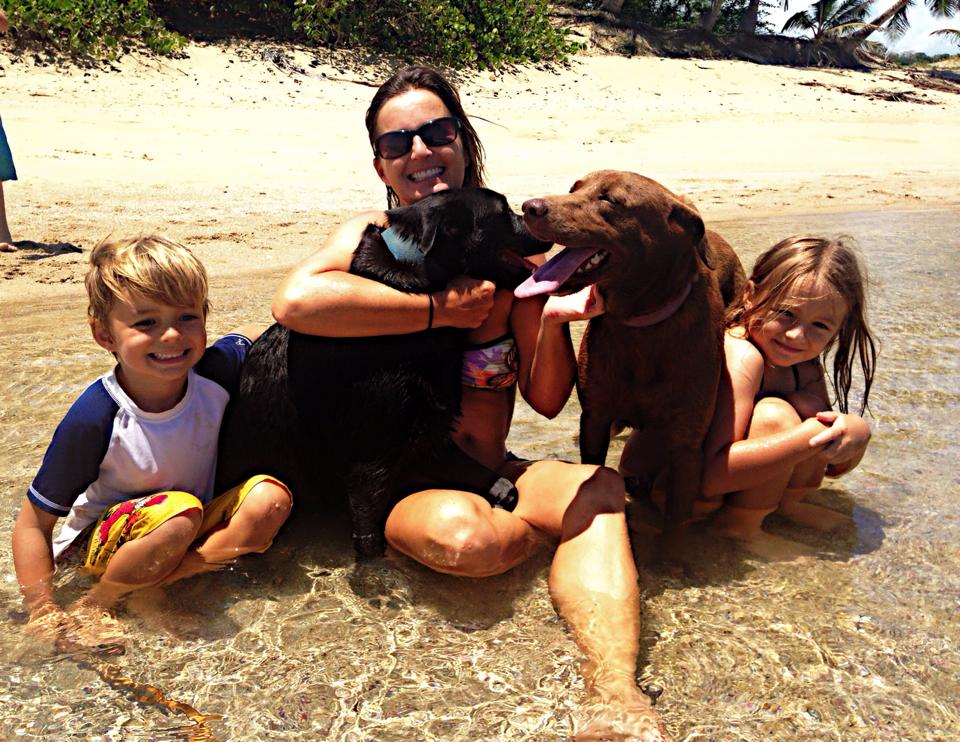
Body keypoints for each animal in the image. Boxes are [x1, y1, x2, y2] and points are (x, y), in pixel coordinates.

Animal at [217, 189, 548, 560]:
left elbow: (494, 478)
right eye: (503, 212)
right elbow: (369, 542)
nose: (539, 214)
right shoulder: (370, 464)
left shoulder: (429, 434)